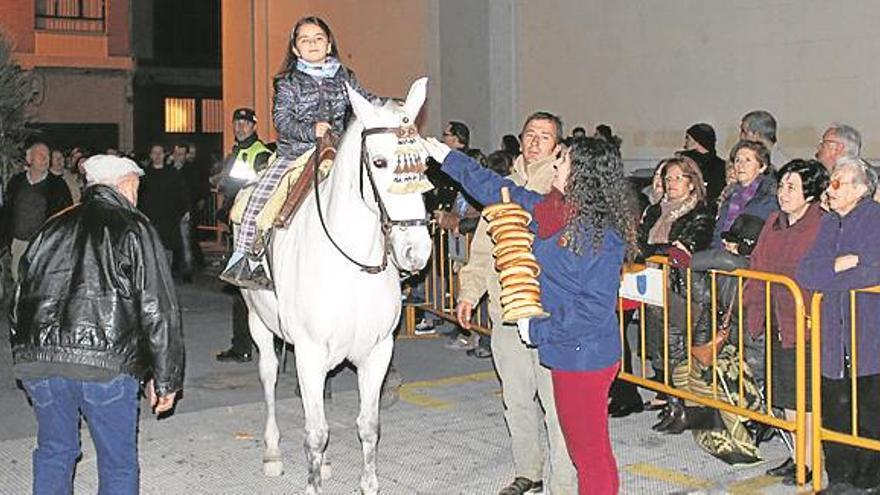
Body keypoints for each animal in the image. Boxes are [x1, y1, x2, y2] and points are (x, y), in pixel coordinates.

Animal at [241, 78, 434, 495]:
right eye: (379, 162)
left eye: (425, 163)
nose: (416, 251)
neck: (352, 267)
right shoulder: (309, 354)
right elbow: (315, 433)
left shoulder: (377, 352)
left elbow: (369, 427)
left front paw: (367, 483)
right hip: (257, 321)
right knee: (268, 377)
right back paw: (272, 453)